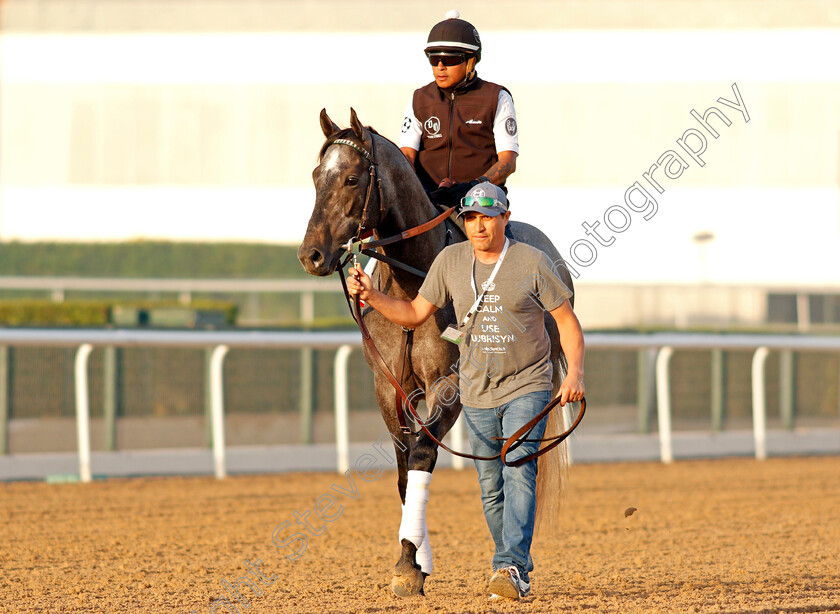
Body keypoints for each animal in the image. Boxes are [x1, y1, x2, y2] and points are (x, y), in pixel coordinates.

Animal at [296, 108, 576, 600]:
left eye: (351, 178)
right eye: (316, 176)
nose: (311, 255)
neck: (416, 280)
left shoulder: (451, 387)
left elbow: (425, 454)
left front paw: (410, 565)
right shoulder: (389, 389)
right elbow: (406, 468)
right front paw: (413, 561)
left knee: (516, 463)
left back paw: (513, 566)